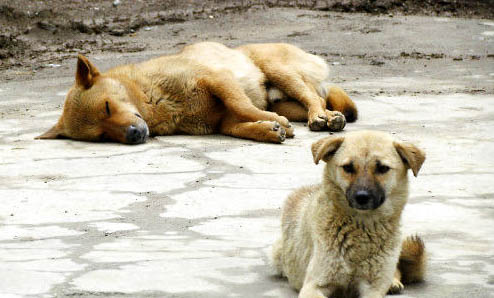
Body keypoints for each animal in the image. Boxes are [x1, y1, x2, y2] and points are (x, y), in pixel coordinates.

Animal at [36, 42, 356, 144]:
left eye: (106, 106)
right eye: (102, 136)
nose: (134, 135)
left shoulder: (218, 80)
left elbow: (243, 106)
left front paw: (273, 123)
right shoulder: (222, 121)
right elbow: (240, 125)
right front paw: (268, 129)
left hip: (279, 71)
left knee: (314, 98)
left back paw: (321, 118)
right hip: (284, 98)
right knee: (316, 101)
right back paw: (325, 117)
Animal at [272, 131, 426, 298]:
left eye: (382, 168)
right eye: (348, 167)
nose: (362, 197)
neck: (362, 228)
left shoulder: (373, 288)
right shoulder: (314, 285)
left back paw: (393, 282)